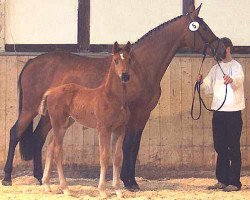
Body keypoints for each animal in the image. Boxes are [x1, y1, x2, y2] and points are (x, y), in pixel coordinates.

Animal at [38, 41, 131, 198]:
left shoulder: (120, 129)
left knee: (51, 146)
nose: (124, 76)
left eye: (129, 59)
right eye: (116, 60)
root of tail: (51, 91)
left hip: (65, 124)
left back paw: (47, 185)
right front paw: (102, 191)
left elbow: (118, 157)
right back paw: (65, 188)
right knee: (57, 151)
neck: (112, 97)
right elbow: (104, 157)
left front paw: (118, 190)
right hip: (58, 123)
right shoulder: (103, 129)